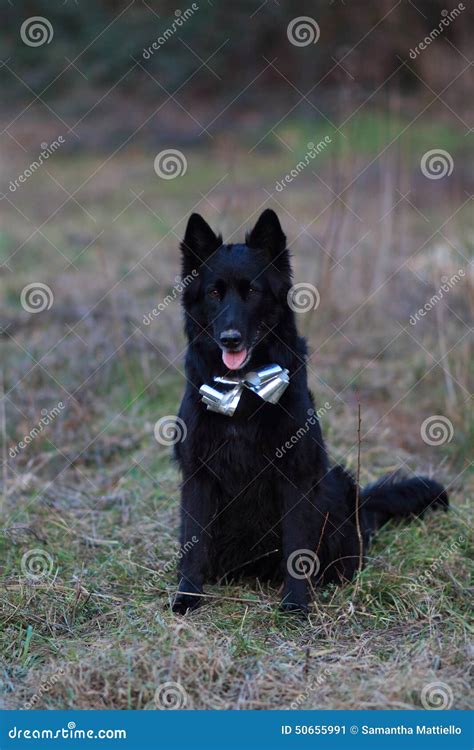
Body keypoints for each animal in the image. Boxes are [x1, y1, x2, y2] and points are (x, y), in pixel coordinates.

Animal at [172, 212, 446, 616]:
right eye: (214, 293)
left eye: (252, 291)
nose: (230, 339)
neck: (243, 390)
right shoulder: (198, 473)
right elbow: (193, 542)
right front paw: (187, 597)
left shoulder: (297, 473)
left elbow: (297, 547)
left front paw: (295, 605)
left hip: (337, 484)